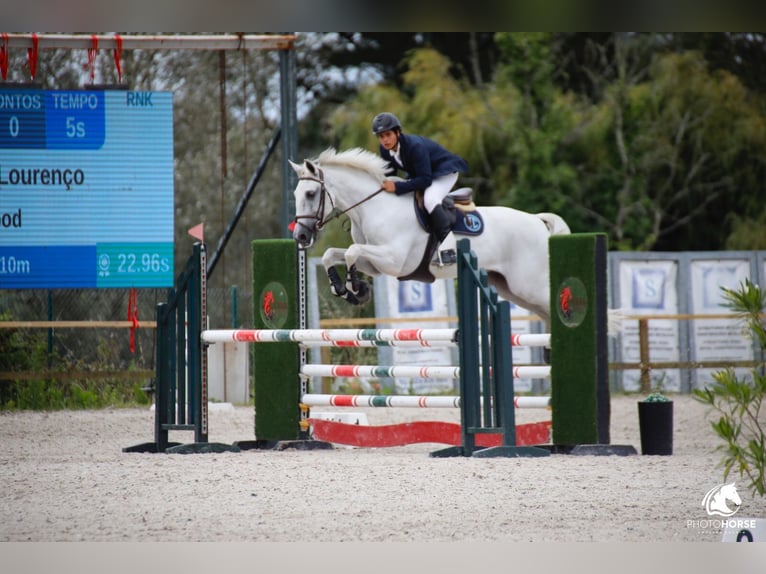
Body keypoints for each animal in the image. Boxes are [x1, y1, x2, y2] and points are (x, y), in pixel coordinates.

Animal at [288, 148, 568, 328]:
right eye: (295, 194)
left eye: (311, 193)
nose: (300, 235)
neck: (372, 207)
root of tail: (537, 222)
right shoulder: (376, 264)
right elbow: (332, 254)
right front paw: (345, 289)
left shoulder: (394, 260)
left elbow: (351, 251)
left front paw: (355, 288)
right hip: (510, 288)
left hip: (530, 286)